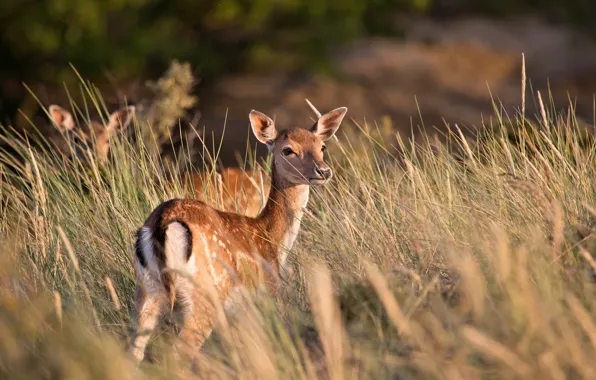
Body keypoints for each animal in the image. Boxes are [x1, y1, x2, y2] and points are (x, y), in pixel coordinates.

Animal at [128, 99, 346, 364]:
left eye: (321, 146)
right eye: (288, 150)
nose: (323, 171)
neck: (272, 240)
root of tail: (163, 223)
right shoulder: (267, 293)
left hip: (147, 290)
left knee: (134, 351)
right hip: (207, 293)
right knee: (178, 353)